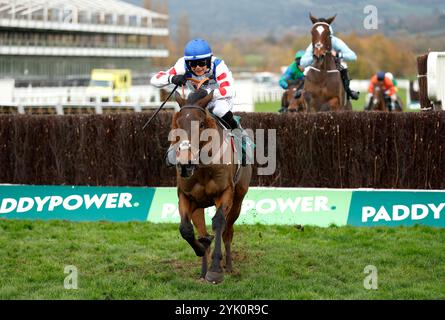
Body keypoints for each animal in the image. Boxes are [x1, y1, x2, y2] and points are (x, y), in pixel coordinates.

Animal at [171, 89, 251, 284]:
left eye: (201, 124)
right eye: (178, 123)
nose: (185, 163)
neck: (203, 167)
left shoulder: (225, 193)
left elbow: (219, 222)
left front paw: (215, 270)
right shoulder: (186, 196)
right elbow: (185, 229)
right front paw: (202, 247)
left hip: (238, 201)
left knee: (227, 231)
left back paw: (227, 265)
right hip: (199, 206)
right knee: (201, 230)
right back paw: (203, 267)